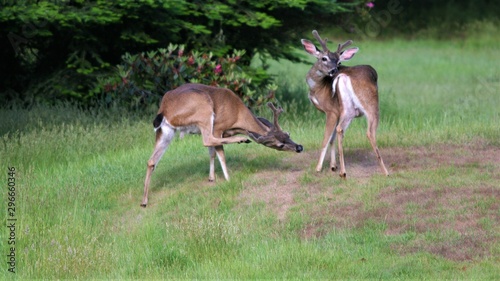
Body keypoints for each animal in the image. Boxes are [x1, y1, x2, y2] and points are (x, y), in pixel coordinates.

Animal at [142, 82, 304, 207]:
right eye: (280, 145)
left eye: (288, 134)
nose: (299, 147)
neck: (237, 115)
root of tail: (164, 109)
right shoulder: (218, 128)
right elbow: (219, 152)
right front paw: (228, 179)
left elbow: (212, 152)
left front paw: (211, 178)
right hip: (204, 110)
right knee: (207, 140)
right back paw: (242, 139)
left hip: (166, 131)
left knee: (151, 160)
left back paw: (144, 201)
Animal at [298, 29, 388, 177]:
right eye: (324, 58)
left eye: (339, 62)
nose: (334, 70)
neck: (317, 88)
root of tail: (343, 76)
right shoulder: (334, 111)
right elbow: (329, 137)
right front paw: (327, 166)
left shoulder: (332, 111)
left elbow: (329, 138)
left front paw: (331, 166)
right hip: (366, 104)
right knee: (368, 132)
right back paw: (383, 171)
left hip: (355, 108)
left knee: (342, 130)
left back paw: (341, 171)